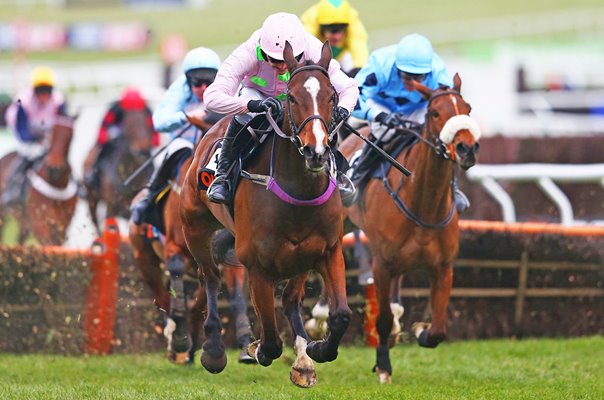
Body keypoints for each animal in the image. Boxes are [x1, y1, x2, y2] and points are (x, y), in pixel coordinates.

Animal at [130, 148, 255, 366]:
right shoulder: (175, 248)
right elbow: (176, 274)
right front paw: (179, 338)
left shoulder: (230, 259)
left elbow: (236, 298)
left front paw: (245, 346)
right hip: (145, 259)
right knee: (163, 298)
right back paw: (176, 343)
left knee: (196, 305)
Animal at [179, 41, 350, 388]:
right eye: (292, 97)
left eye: (332, 97)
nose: (316, 151)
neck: (298, 191)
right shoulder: (257, 265)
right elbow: (270, 341)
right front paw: (255, 348)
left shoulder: (328, 251)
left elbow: (341, 315)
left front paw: (317, 349)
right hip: (195, 227)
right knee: (210, 277)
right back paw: (213, 350)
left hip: (302, 258)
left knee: (291, 299)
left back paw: (303, 360)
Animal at [340, 73, 482, 382]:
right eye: (435, 112)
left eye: (467, 109)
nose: (466, 148)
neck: (423, 205)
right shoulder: (381, 264)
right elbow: (380, 320)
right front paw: (383, 366)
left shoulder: (443, 267)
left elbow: (438, 329)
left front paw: (420, 330)